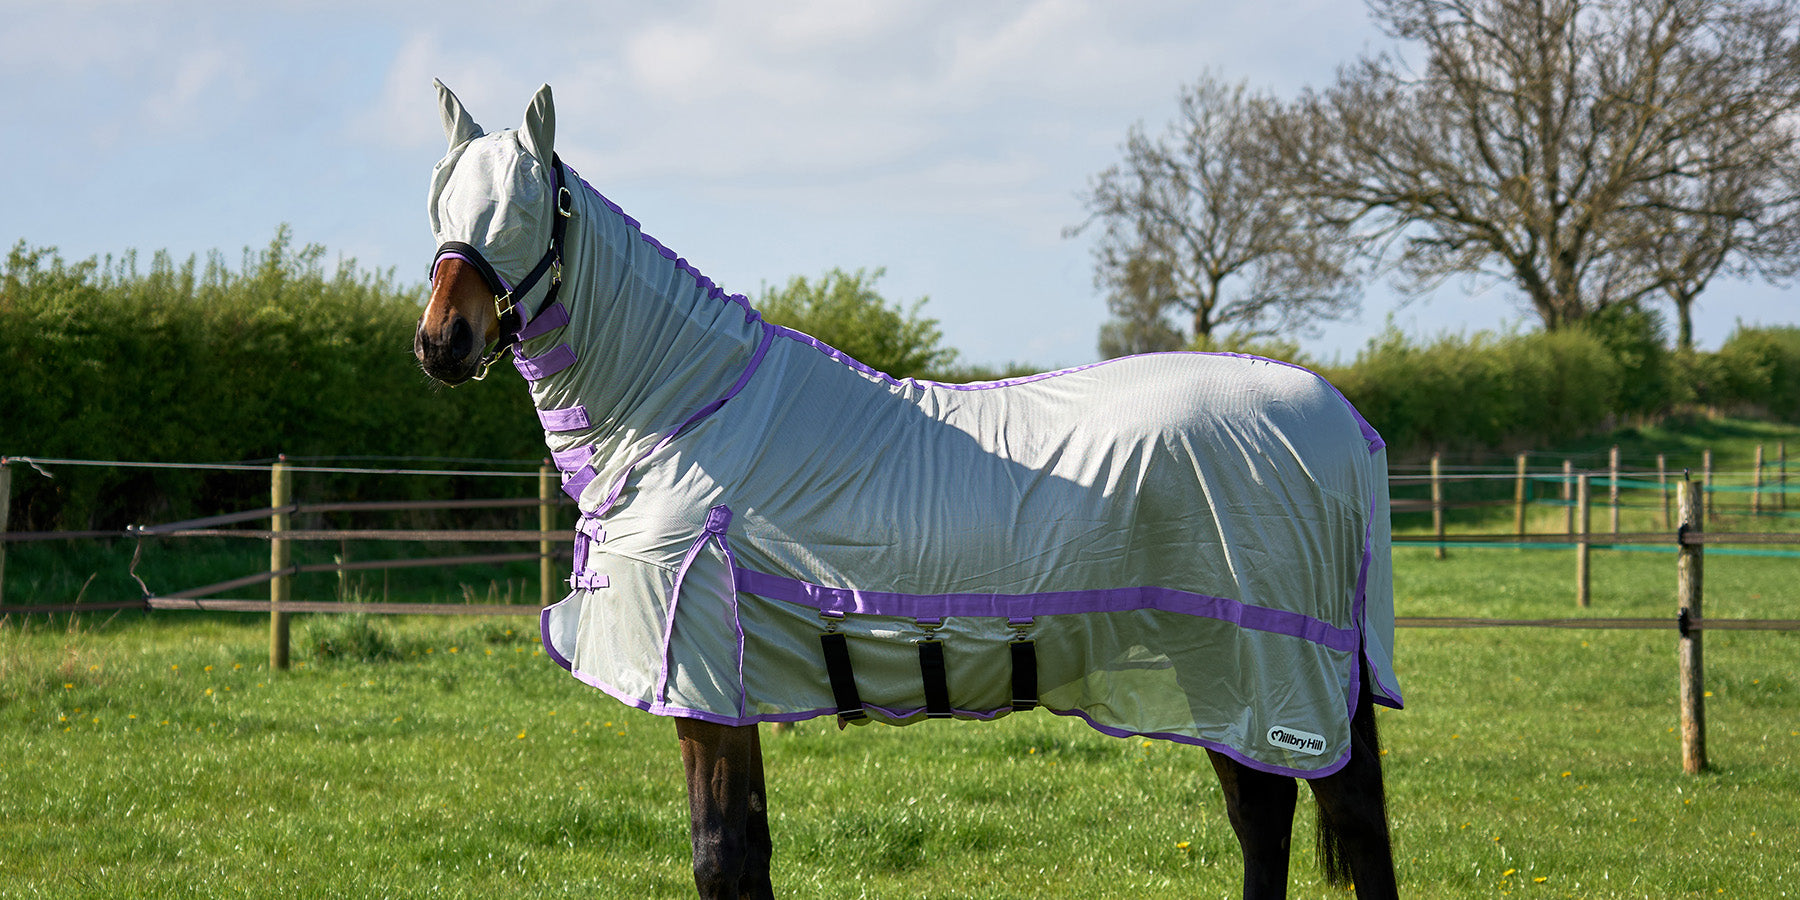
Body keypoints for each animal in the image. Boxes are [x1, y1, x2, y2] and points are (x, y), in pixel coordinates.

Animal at [414, 81, 1401, 900]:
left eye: (526, 208)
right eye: (439, 205)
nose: (441, 343)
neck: (683, 413)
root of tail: (1340, 418)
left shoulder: (699, 685)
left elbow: (720, 857)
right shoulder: (731, 691)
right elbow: (750, 854)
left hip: (1265, 675)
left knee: (1325, 819)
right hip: (1223, 679)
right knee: (1267, 824)